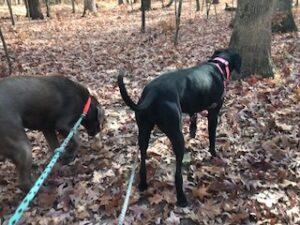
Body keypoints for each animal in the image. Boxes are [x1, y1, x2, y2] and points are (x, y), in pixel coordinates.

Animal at [118, 48, 241, 206]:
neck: (218, 65)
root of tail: (153, 92)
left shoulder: (193, 106)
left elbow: (194, 117)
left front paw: (193, 131)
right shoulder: (213, 114)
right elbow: (212, 138)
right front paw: (214, 154)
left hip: (143, 132)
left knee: (143, 159)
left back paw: (143, 184)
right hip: (176, 134)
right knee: (177, 173)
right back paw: (181, 198)